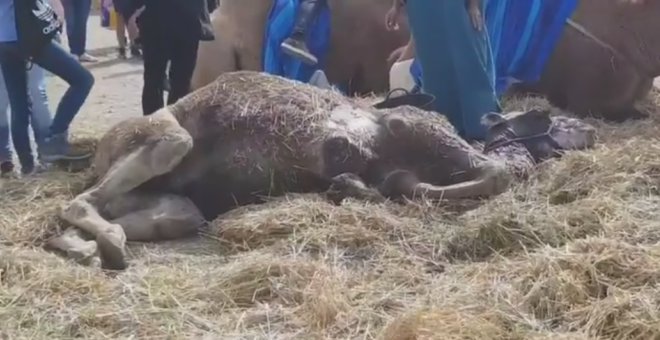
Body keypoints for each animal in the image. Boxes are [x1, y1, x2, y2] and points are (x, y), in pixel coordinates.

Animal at [49, 71, 596, 270]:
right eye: (557, 121)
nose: (590, 128)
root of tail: (97, 157)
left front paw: (351, 184)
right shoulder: (409, 127)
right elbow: (492, 175)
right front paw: (355, 183)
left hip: (179, 205)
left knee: (110, 213)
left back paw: (85, 247)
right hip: (168, 140)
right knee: (79, 202)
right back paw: (105, 247)